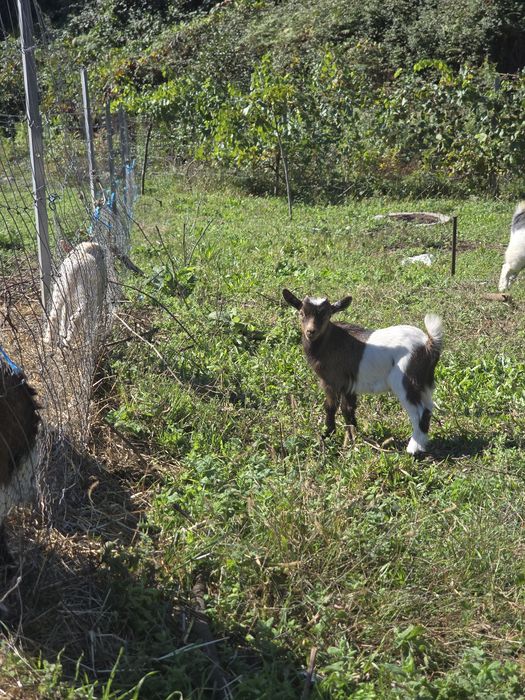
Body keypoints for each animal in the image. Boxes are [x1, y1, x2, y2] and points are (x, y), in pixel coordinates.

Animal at [282, 289, 443, 454]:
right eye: (301, 313)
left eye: (327, 314)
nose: (311, 332)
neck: (329, 341)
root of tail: (429, 344)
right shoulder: (349, 384)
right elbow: (348, 409)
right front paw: (354, 438)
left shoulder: (331, 381)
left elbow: (330, 407)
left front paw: (327, 436)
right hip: (424, 383)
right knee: (429, 407)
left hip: (405, 381)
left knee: (419, 412)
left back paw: (413, 449)